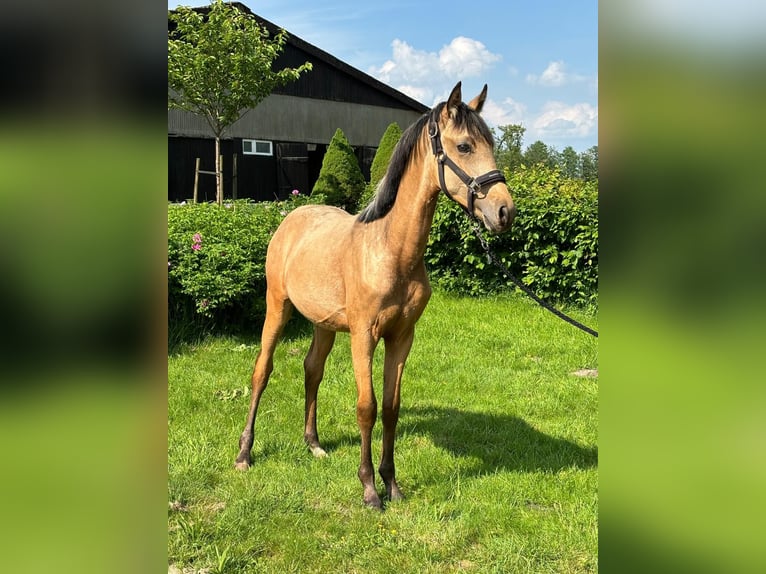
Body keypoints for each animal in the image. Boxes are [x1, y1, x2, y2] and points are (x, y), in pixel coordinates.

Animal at [237, 81, 520, 508]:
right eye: (465, 146)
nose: (504, 212)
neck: (390, 250)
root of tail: (293, 215)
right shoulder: (364, 336)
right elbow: (366, 407)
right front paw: (370, 489)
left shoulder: (401, 337)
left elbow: (390, 408)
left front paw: (392, 484)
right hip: (277, 308)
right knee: (261, 372)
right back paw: (244, 453)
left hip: (323, 325)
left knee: (312, 370)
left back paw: (313, 443)